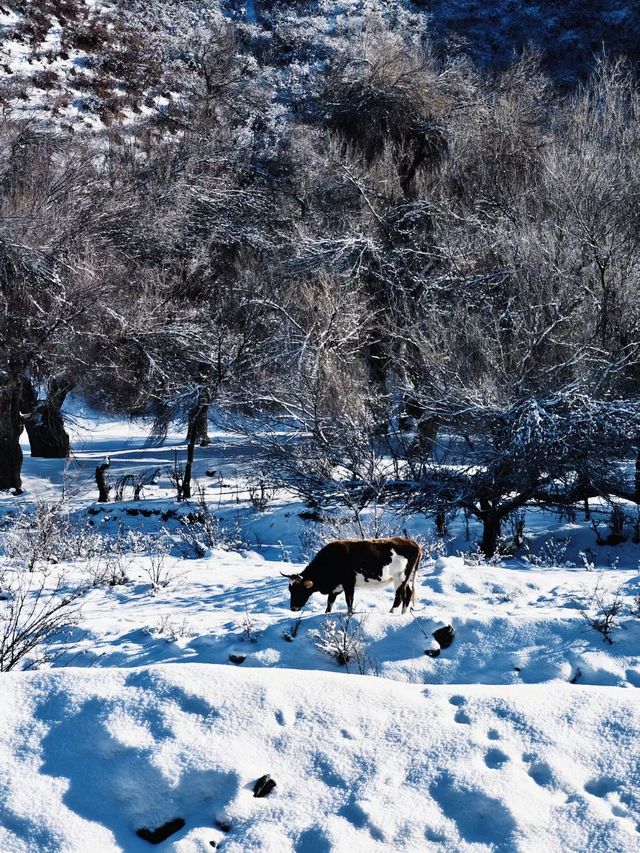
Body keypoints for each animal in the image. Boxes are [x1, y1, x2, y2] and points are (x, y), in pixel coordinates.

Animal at [282, 540, 422, 612]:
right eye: (290, 590)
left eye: (300, 590)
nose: (293, 608)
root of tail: (413, 542)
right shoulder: (336, 588)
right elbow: (329, 603)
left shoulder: (348, 584)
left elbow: (349, 601)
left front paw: (349, 615)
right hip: (402, 579)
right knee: (408, 593)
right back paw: (403, 614)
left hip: (400, 577)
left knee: (400, 595)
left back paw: (392, 613)